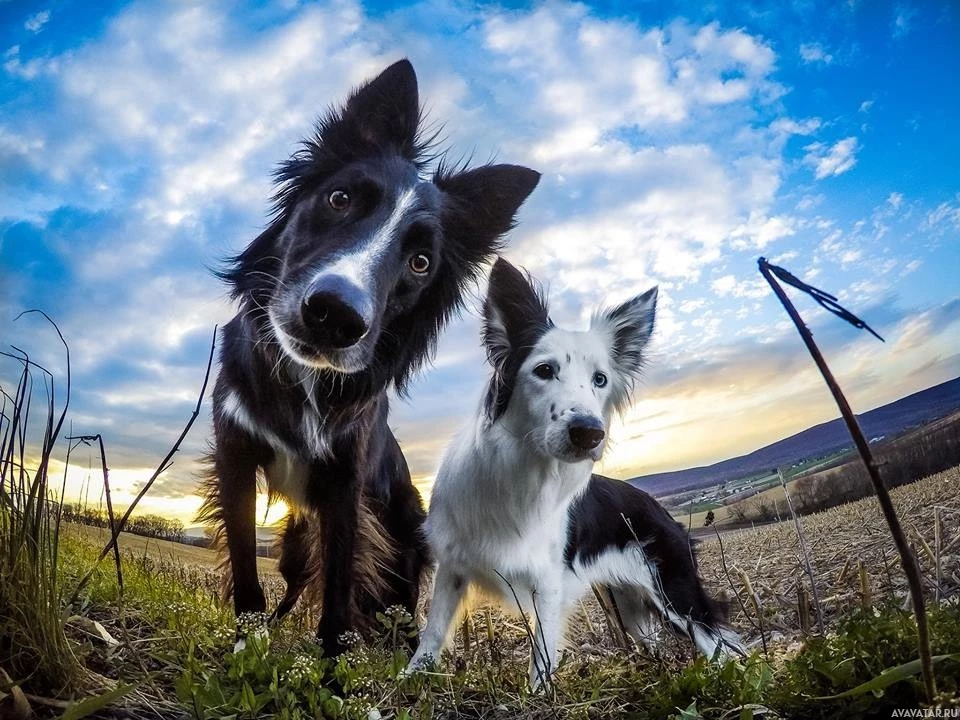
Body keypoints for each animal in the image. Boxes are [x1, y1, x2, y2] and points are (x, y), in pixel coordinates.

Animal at [199, 62, 540, 656]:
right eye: (339, 199)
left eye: (421, 262)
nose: (334, 316)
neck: (305, 380)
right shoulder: (236, 452)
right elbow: (247, 575)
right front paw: (246, 653)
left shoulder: (346, 485)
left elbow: (337, 597)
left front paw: (332, 668)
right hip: (295, 537)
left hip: (403, 537)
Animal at [404, 258, 744, 688]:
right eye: (544, 370)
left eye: (600, 379)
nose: (589, 433)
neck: (524, 470)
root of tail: (655, 504)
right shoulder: (452, 567)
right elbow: (432, 633)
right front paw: (410, 680)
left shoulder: (548, 584)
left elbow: (542, 655)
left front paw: (538, 695)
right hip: (628, 607)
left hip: (675, 593)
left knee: (721, 643)